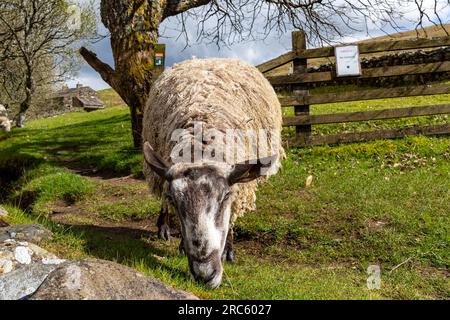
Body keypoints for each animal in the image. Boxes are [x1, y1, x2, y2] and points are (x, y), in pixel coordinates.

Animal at [143, 58, 284, 290]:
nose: (204, 275)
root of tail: (200, 59)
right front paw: (182, 245)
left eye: (226, 196)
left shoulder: (239, 187)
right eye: (175, 200)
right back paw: (163, 227)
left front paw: (229, 250)